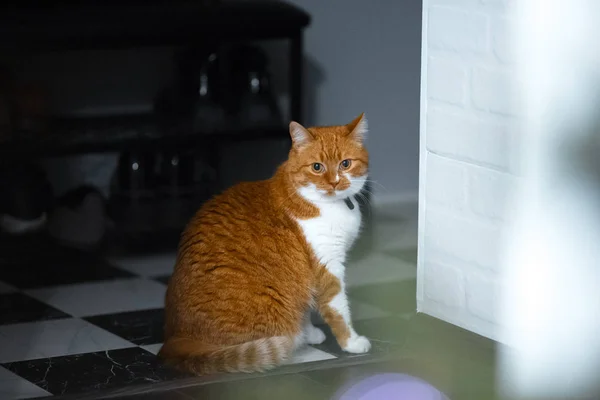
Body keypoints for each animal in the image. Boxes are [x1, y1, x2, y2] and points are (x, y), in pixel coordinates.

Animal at [162, 113, 372, 376]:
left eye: (345, 164)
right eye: (317, 167)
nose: (334, 183)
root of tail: (174, 339)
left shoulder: (305, 274)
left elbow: (304, 303)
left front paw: (309, 332)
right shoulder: (327, 265)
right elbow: (338, 310)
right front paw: (351, 342)